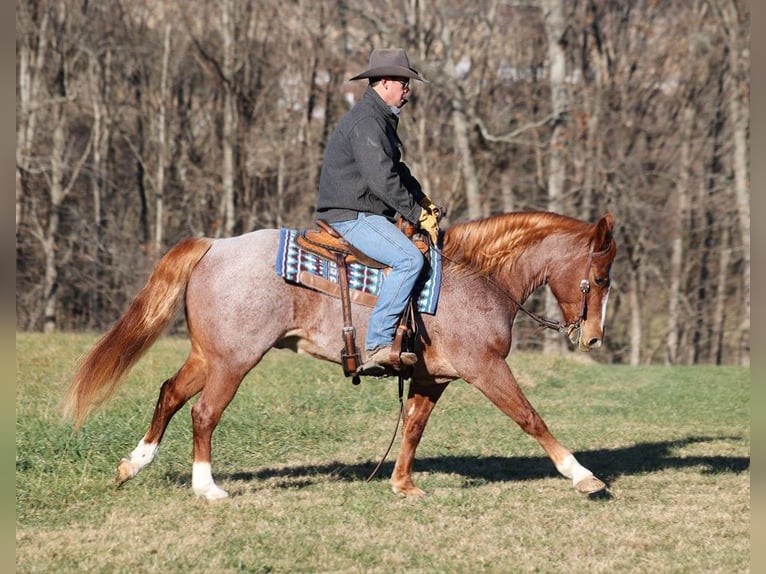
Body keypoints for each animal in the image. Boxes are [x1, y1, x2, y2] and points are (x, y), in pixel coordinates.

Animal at [64, 210, 616, 500]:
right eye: (601, 277)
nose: (592, 338)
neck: (477, 278)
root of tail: (216, 244)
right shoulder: (485, 368)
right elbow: (530, 417)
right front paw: (583, 476)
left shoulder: (432, 378)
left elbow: (413, 426)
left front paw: (402, 484)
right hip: (233, 361)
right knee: (203, 412)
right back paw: (208, 487)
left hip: (208, 355)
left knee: (170, 394)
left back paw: (133, 464)